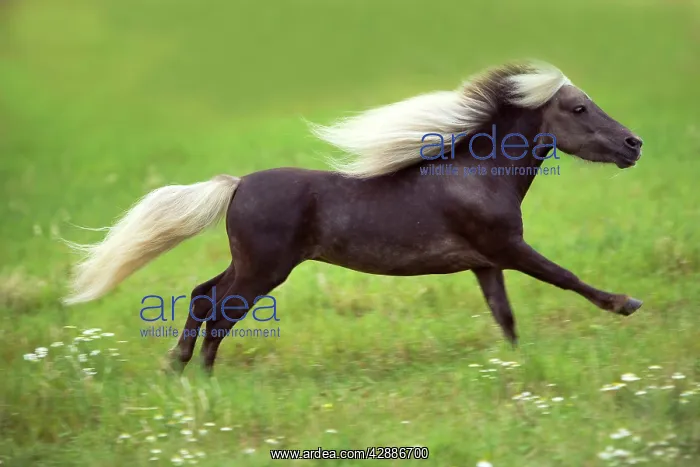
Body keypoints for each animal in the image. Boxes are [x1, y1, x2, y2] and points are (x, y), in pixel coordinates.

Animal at [62, 61, 644, 372]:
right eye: (578, 109)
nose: (633, 145)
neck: (478, 175)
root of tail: (237, 185)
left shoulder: (485, 262)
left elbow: (505, 315)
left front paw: (517, 363)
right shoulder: (506, 247)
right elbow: (564, 276)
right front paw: (626, 303)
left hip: (249, 263)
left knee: (204, 295)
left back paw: (181, 370)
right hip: (265, 268)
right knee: (219, 309)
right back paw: (201, 375)